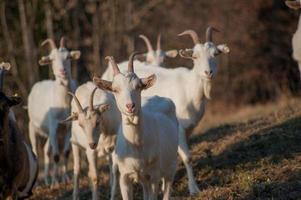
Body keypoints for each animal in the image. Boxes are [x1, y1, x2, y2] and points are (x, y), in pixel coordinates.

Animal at [27, 38, 80, 186]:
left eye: (68, 57)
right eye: (51, 59)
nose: (62, 71)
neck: (63, 102)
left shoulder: (68, 127)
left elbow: (66, 152)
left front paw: (66, 179)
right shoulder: (53, 125)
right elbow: (56, 155)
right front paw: (56, 183)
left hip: (50, 134)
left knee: (46, 151)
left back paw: (46, 179)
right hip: (33, 126)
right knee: (36, 151)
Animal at [94, 53, 178, 200]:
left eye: (139, 86)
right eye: (115, 90)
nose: (130, 106)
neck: (137, 146)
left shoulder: (154, 175)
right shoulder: (125, 176)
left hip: (170, 168)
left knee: (167, 187)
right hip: (143, 178)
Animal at [101, 26, 230, 194]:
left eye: (215, 54)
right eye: (195, 56)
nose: (208, 73)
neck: (189, 88)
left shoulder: (187, 128)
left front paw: (163, 186)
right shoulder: (180, 127)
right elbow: (187, 157)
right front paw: (194, 189)